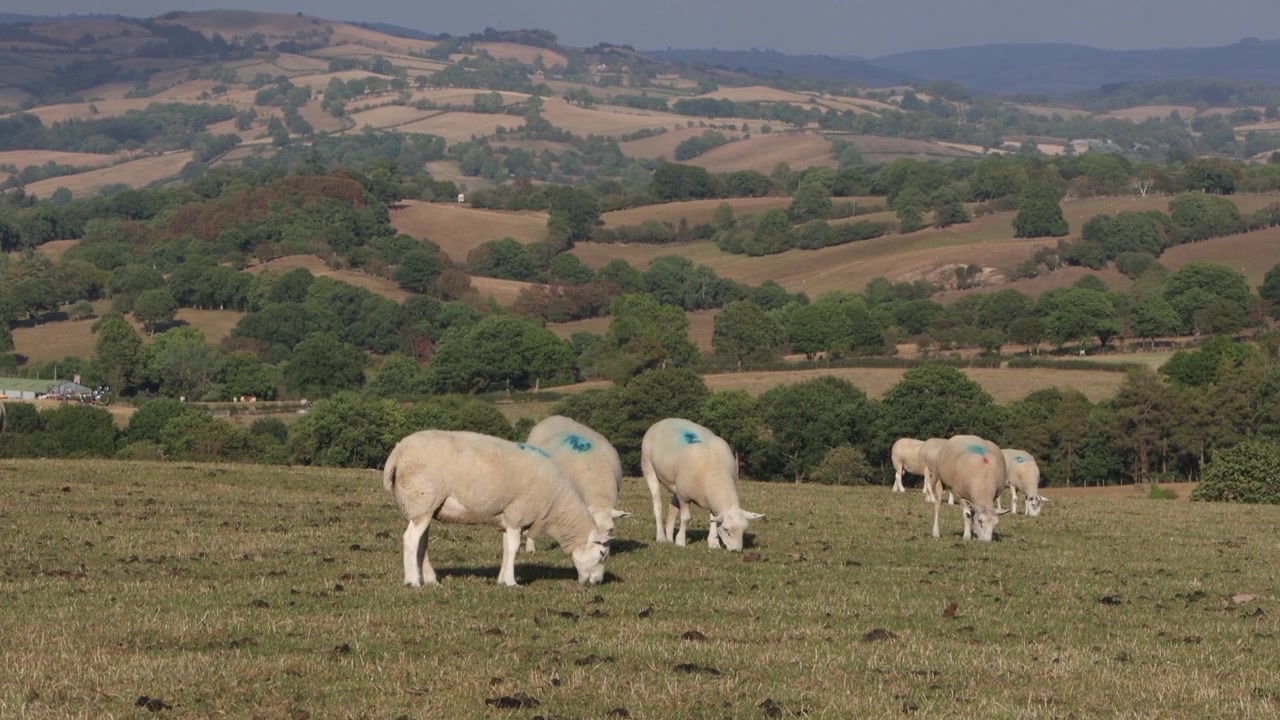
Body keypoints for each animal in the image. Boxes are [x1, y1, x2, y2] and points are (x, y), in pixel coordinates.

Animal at [382, 429, 611, 587]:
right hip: (422, 499)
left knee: (422, 543)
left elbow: (506, 547)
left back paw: (431, 580)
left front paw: (501, 579)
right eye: (602, 554)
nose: (598, 582)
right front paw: (511, 582)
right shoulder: (518, 513)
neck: (556, 505)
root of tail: (397, 453)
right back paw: (413, 581)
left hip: (425, 506)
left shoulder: (506, 517)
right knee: (410, 539)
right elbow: (514, 547)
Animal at [640, 418, 764, 551]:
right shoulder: (684, 496)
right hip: (648, 467)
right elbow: (686, 518)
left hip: (677, 486)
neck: (715, 475)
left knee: (672, 508)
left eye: (743, 530)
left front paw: (714, 543)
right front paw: (680, 541)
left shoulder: (708, 501)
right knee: (657, 505)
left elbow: (713, 519)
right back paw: (661, 537)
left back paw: (669, 537)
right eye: (726, 530)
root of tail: (664, 420)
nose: (737, 550)